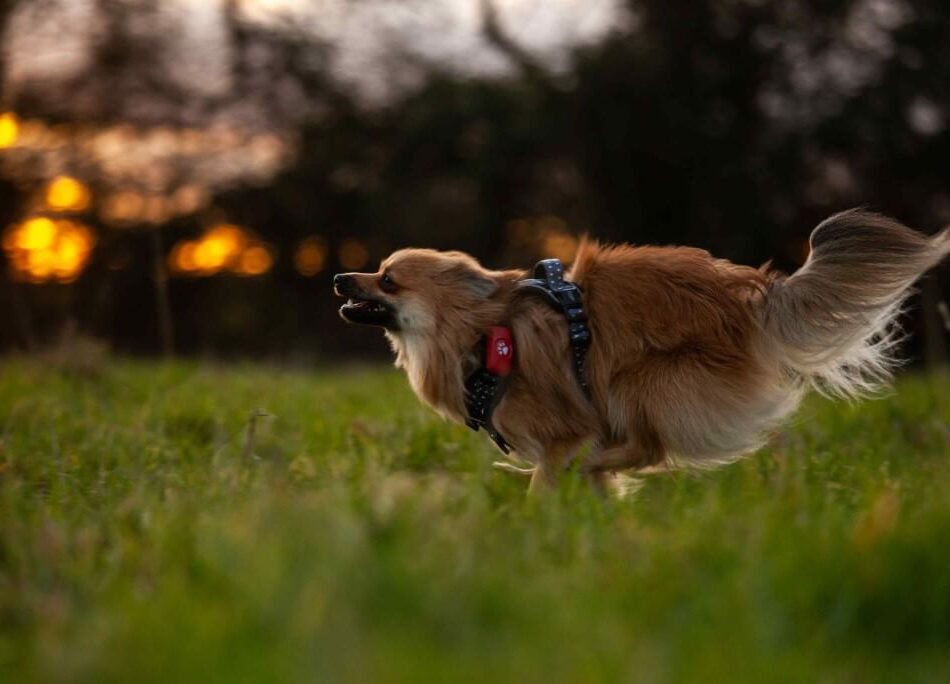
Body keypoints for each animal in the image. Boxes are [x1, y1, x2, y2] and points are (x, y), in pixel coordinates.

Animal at [332, 211, 944, 494]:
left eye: (387, 280)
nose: (339, 277)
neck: (478, 335)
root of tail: (753, 297)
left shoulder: (568, 427)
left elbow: (546, 478)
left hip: (639, 379)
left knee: (648, 446)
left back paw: (592, 463)